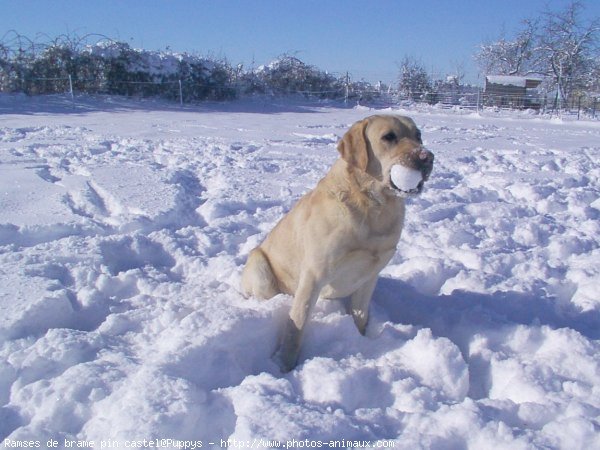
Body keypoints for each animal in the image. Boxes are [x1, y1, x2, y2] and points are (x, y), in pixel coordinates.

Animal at [241, 114, 434, 370]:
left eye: (418, 135)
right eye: (388, 137)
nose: (427, 157)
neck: (373, 206)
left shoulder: (370, 276)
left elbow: (360, 316)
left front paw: (361, 339)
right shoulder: (314, 276)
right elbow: (296, 326)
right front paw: (286, 367)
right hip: (260, 265)